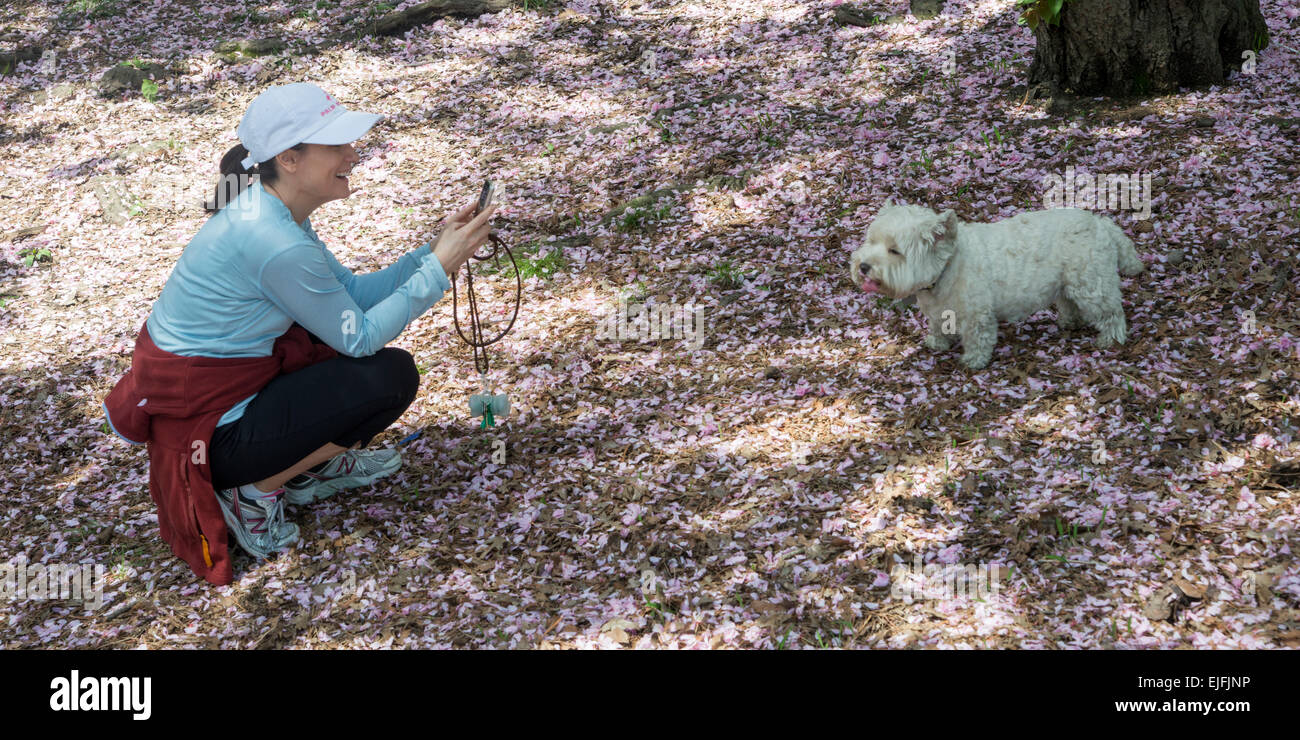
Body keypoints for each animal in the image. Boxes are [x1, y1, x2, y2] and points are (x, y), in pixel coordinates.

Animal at [852, 201, 1149, 369]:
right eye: (871, 241)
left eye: (894, 250)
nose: (863, 266)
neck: (948, 267)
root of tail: (1102, 224)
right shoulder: (939, 311)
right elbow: (937, 327)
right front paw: (937, 342)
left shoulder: (977, 315)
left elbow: (977, 338)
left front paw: (973, 361)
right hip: (1067, 281)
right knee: (1068, 302)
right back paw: (1069, 321)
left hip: (1091, 283)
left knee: (1110, 312)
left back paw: (1110, 338)